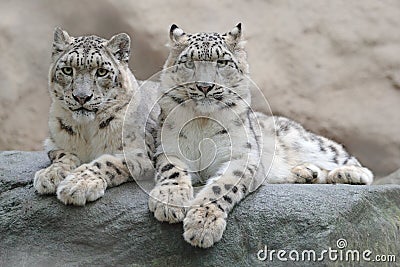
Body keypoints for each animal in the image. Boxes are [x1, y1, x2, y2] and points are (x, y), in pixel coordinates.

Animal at [32, 28, 159, 206]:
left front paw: (77, 185)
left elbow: (106, 162)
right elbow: (63, 155)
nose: (81, 97)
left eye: (101, 72)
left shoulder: (140, 153)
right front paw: (50, 175)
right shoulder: (53, 144)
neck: (86, 130)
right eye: (67, 70)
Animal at [148, 23, 374, 249]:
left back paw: (347, 174)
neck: (202, 121)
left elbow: (222, 186)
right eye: (189, 62)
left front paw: (202, 224)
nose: (204, 86)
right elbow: (172, 170)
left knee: (346, 158)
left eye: (222, 62)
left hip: (307, 142)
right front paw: (169, 200)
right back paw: (306, 172)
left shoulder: (242, 156)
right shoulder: (167, 147)